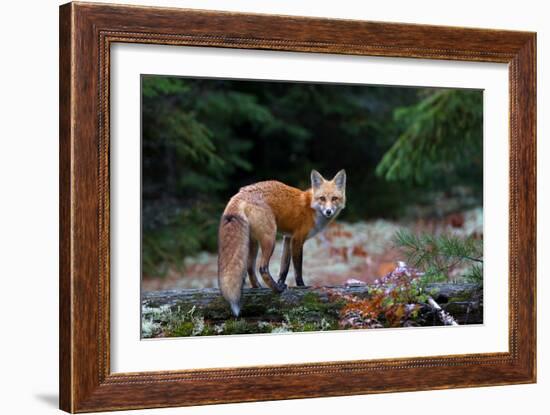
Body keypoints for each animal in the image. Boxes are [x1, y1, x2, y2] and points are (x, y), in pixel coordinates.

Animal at [218, 171, 348, 316]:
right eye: (322, 198)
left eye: (334, 198)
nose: (328, 211)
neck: (311, 208)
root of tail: (240, 193)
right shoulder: (297, 239)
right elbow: (297, 269)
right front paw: (302, 287)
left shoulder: (288, 238)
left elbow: (284, 268)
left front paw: (281, 282)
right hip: (270, 239)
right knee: (262, 268)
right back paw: (276, 289)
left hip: (254, 243)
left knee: (250, 267)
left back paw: (259, 287)